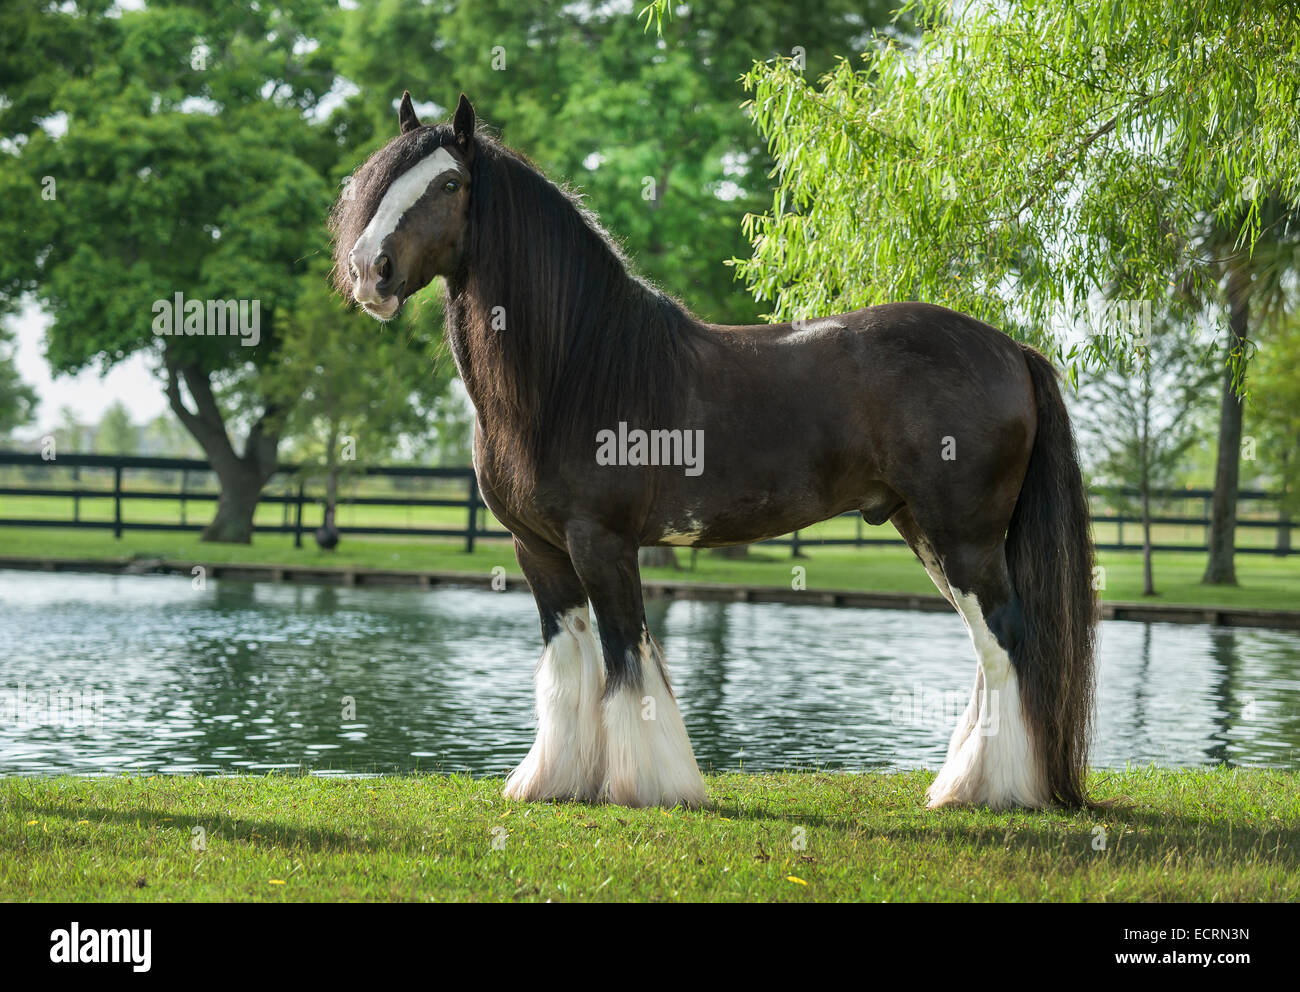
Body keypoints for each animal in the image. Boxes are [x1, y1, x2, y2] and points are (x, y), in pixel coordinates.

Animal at [327, 89, 1097, 811]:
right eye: (375, 179)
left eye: (449, 183)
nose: (370, 270)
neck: (575, 371)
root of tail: (1012, 349)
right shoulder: (537, 549)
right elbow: (570, 666)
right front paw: (553, 783)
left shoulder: (603, 542)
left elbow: (628, 662)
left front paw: (650, 787)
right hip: (927, 532)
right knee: (990, 651)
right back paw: (965, 785)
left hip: (963, 536)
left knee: (1006, 642)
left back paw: (990, 791)